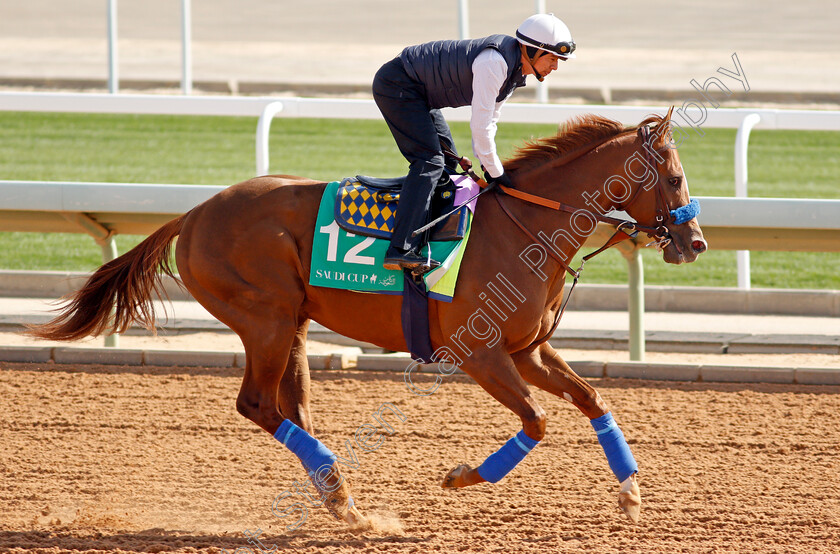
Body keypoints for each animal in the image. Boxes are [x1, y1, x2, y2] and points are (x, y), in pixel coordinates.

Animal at [29, 108, 704, 528]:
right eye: (673, 177)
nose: (694, 242)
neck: (524, 229)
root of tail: (194, 213)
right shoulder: (480, 353)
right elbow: (537, 422)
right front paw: (461, 476)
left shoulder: (527, 350)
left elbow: (592, 400)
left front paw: (631, 494)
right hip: (265, 319)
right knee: (257, 404)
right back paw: (345, 497)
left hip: (292, 326)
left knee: (290, 408)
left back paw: (342, 502)